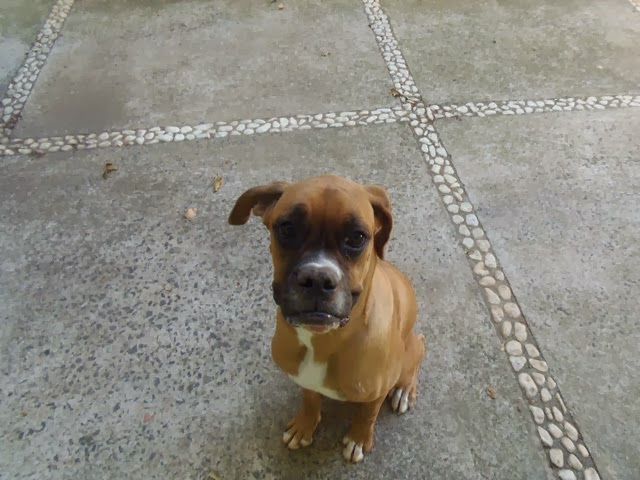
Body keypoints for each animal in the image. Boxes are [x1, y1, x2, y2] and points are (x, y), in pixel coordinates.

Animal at [228, 175, 425, 463]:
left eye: (357, 237)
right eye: (287, 228)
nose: (318, 278)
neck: (323, 342)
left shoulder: (376, 392)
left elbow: (368, 414)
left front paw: (358, 438)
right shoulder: (304, 379)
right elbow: (310, 399)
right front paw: (304, 425)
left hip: (410, 349)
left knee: (418, 350)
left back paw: (404, 390)